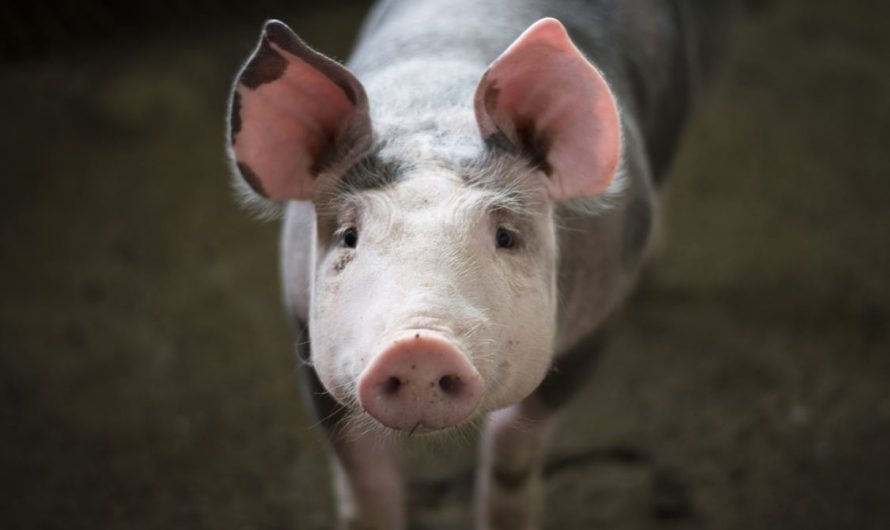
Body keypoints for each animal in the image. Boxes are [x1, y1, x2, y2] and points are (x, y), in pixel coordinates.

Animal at [226, 0, 730, 528]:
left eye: (505, 236)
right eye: (349, 236)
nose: (419, 345)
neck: (435, 110)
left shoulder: (595, 321)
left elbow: (512, 448)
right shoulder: (305, 328)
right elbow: (365, 476)